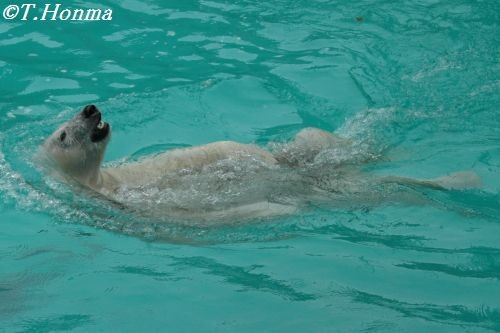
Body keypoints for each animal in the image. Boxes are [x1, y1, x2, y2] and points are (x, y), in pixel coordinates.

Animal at [42, 103, 480, 218]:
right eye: (63, 135)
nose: (90, 109)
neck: (107, 184)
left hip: (292, 151)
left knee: (313, 143)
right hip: (326, 185)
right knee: (363, 188)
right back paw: (462, 183)